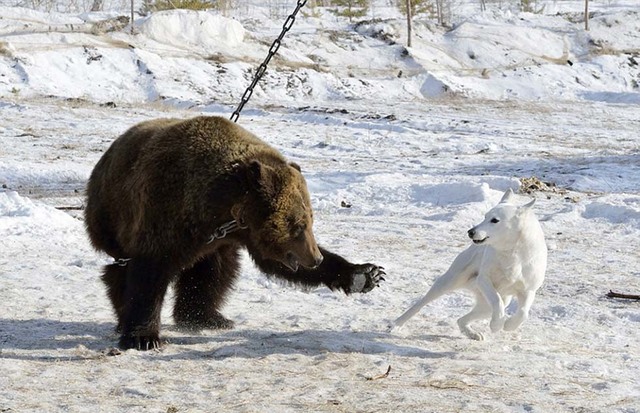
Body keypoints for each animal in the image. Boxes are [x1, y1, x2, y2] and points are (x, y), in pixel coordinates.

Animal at [85, 114, 384, 350]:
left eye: (311, 220)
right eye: (298, 224)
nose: (315, 258)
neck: (222, 210)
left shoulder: (244, 235)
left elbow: (272, 263)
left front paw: (365, 274)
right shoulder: (166, 210)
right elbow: (151, 271)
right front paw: (144, 337)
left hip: (211, 247)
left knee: (213, 271)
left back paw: (208, 317)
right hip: (111, 216)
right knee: (123, 267)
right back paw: (125, 314)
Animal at [392, 188, 548, 340]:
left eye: (495, 220)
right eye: (485, 216)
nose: (470, 232)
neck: (512, 254)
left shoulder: (528, 290)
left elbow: (523, 313)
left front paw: (509, 325)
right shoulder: (484, 280)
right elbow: (497, 300)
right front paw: (496, 325)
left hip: (489, 305)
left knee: (461, 319)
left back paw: (472, 333)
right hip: (450, 282)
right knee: (421, 303)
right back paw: (396, 324)